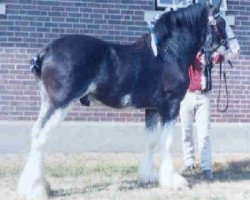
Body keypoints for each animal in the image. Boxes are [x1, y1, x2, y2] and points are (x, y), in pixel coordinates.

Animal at [18, 1, 240, 198]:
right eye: (221, 22)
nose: (237, 49)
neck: (168, 53)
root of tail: (47, 50)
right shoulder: (171, 105)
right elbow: (166, 141)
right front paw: (173, 180)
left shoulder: (152, 108)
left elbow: (151, 140)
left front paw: (149, 176)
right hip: (59, 104)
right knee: (40, 136)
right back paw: (36, 189)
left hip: (48, 103)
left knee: (36, 134)